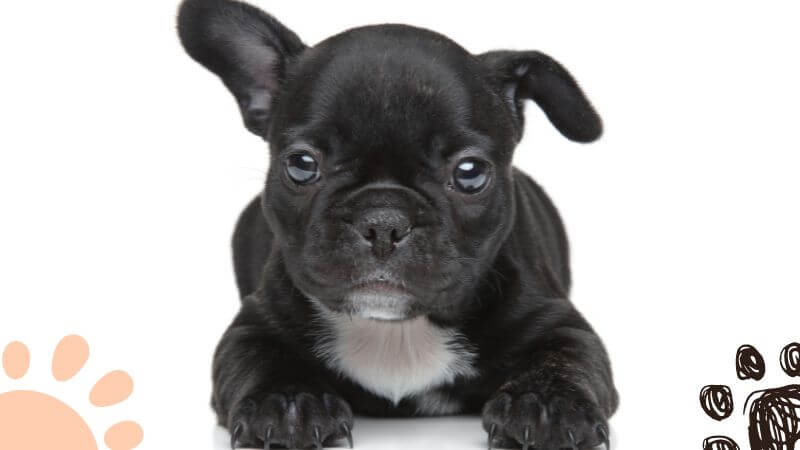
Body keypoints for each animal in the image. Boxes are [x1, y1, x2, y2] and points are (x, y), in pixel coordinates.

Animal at [180, 1, 620, 448]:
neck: (395, 330)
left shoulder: (559, 321)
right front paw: (287, 402)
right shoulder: (253, 324)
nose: (383, 221)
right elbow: (259, 356)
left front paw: (547, 404)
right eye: (301, 165)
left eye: (471, 173)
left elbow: (566, 357)